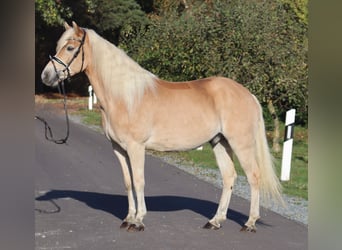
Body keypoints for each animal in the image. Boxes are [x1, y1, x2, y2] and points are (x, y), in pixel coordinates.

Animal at [40, 21, 284, 232]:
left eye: (70, 47)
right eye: (59, 46)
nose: (46, 76)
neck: (126, 96)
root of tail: (248, 94)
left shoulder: (136, 147)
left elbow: (139, 181)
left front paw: (138, 221)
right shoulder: (119, 149)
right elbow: (128, 182)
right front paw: (128, 218)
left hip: (241, 144)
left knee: (253, 177)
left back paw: (250, 223)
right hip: (220, 142)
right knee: (229, 177)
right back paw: (215, 221)